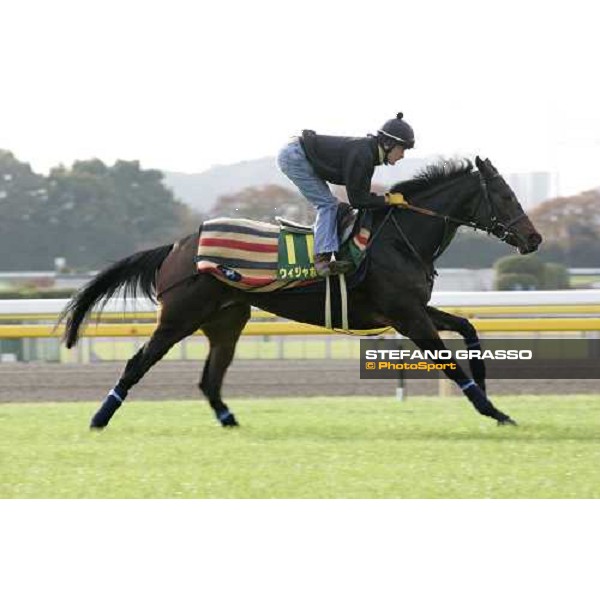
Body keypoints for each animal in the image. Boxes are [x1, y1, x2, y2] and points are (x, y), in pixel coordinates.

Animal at [61, 157, 544, 428]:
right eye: (504, 194)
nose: (534, 239)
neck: (397, 237)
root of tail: (178, 246)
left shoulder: (414, 308)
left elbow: (468, 328)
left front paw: (487, 383)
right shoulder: (407, 315)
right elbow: (449, 363)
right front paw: (494, 411)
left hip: (226, 320)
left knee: (209, 378)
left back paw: (230, 420)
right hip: (179, 317)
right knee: (137, 363)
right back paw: (100, 417)